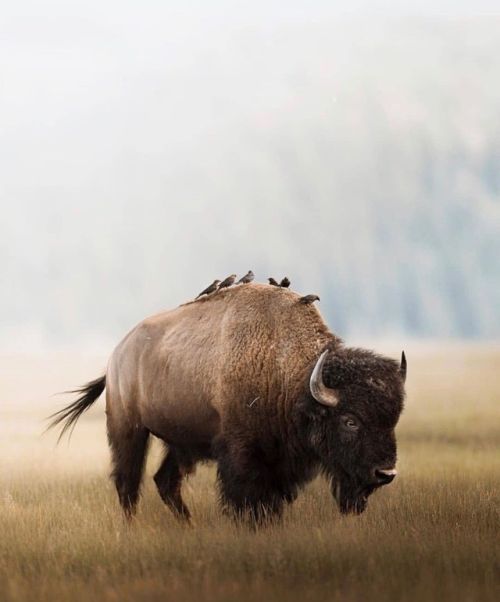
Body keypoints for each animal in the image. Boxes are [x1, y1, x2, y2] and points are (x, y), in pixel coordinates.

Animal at [50, 282, 406, 520]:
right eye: (350, 420)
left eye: (393, 418)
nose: (385, 473)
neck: (287, 370)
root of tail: (117, 354)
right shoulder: (242, 455)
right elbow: (246, 499)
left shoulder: (279, 463)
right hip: (129, 430)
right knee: (128, 483)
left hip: (180, 443)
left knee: (165, 482)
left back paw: (188, 526)